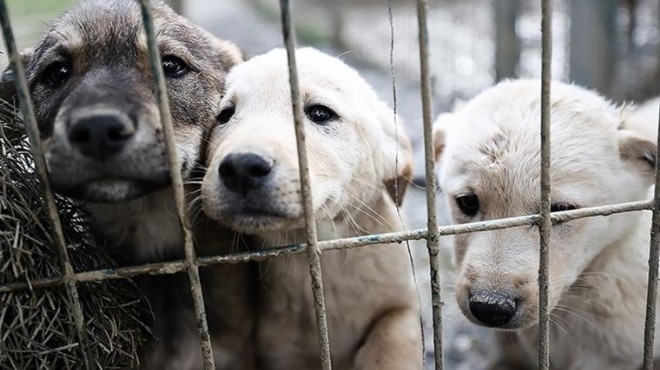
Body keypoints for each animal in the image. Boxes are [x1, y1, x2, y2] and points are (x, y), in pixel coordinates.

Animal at [201, 47, 422, 370]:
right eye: (224, 115)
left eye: (320, 113)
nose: (241, 167)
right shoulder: (279, 349)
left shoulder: (403, 305)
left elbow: (392, 340)